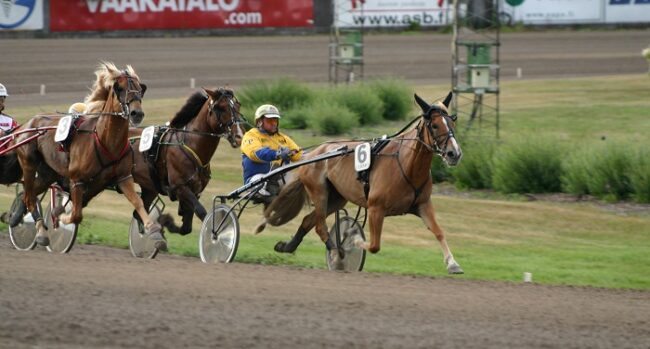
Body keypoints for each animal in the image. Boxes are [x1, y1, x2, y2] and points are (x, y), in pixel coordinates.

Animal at [14, 61, 166, 249]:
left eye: (140, 88)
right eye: (120, 88)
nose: (137, 113)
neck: (105, 141)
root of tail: (28, 123)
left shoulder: (123, 177)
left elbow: (138, 203)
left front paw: (154, 232)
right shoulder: (77, 180)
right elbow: (76, 214)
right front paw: (61, 216)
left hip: (48, 173)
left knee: (30, 194)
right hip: (28, 163)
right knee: (29, 197)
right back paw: (40, 231)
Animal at [260, 92, 464, 274]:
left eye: (452, 122)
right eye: (435, 125)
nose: (454, 153)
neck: (405, 165)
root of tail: (313, 154)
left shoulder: (423, 204)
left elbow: (439, 231)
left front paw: (453, 264)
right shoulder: (375, 208)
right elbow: (374, 245)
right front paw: (353, 239)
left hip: (336, 198)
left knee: (308, 220)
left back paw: (287, 246)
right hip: (320, 192)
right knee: (320, 226)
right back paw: (336, 252)